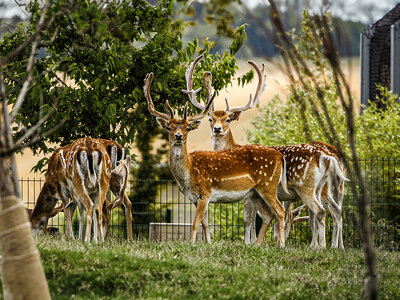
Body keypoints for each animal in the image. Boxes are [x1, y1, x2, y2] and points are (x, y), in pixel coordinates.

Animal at [145, 69, 290, 247]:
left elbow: (195, 223)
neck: (189, 172)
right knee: (269, 214)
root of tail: (280, 156)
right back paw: (257, 245)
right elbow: (205, 224)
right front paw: (208, 244)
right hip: (255, 192)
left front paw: (192, 244)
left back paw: (281, 245)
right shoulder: (195, 198)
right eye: (169, 127)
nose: (178, 136)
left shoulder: (205, 192)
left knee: (280, 211)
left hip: (267, 185)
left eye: (187, 128)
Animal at [185, 55, 346, 247]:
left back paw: (321, 246)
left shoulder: (248, 194)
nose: (217, 129)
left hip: (310, 187)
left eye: (228, 119)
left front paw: (250, 243)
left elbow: (249, 219)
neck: (232, 148)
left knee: (323, 212)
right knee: (335, 211)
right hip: (331, 186)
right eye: (210, 119)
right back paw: (335, 246)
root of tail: (330, 156)